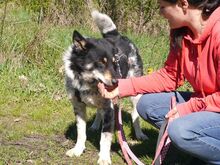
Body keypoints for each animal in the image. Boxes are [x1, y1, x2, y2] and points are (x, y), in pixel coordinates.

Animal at [62, 10, 147, 165]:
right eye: (101, 63)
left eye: (114, 63)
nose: (116, 82)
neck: (87, 83)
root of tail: (116, 35)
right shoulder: (78, 107)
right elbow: (81, 133)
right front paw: (78, 150)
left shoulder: (109, 109)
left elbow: (105, 138)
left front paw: (104, 157)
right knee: (98, 112)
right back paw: (95, 125)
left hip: (135, 94)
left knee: (135, 115)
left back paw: (139, 134)